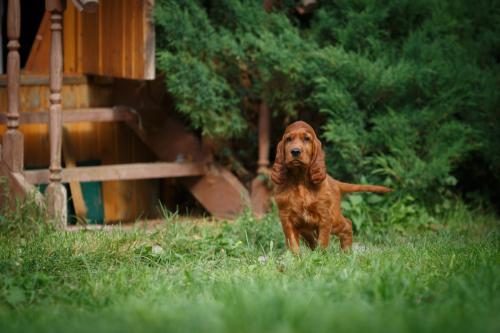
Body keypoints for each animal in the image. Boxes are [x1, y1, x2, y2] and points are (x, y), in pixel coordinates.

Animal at [272, 120, 392, 253]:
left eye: (307, 139)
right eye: (288, 139)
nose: (295, 151)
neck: (300, 179)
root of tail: (333, 181)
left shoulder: (325, 216)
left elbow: (323, 240)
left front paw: (321, 255)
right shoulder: (286, 217)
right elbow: (292, 242)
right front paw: (296, 256)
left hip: (334, 218)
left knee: (347, 224)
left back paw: (346, 252)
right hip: (305, 226)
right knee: (311, 238)